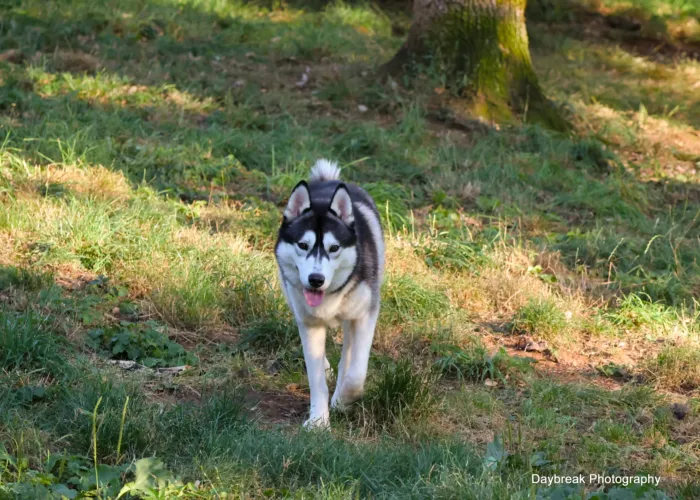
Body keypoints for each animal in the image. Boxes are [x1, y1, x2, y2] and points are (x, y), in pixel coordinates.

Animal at [274, 158, 386, 428]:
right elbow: (315, 378)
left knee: (349, 352)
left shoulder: (366, 315)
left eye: (334, 248)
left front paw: (342, 401)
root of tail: (328, 182)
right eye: (302, 245)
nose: (316, 280)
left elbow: (356, 374)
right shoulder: (309, 323)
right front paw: (318, 422)